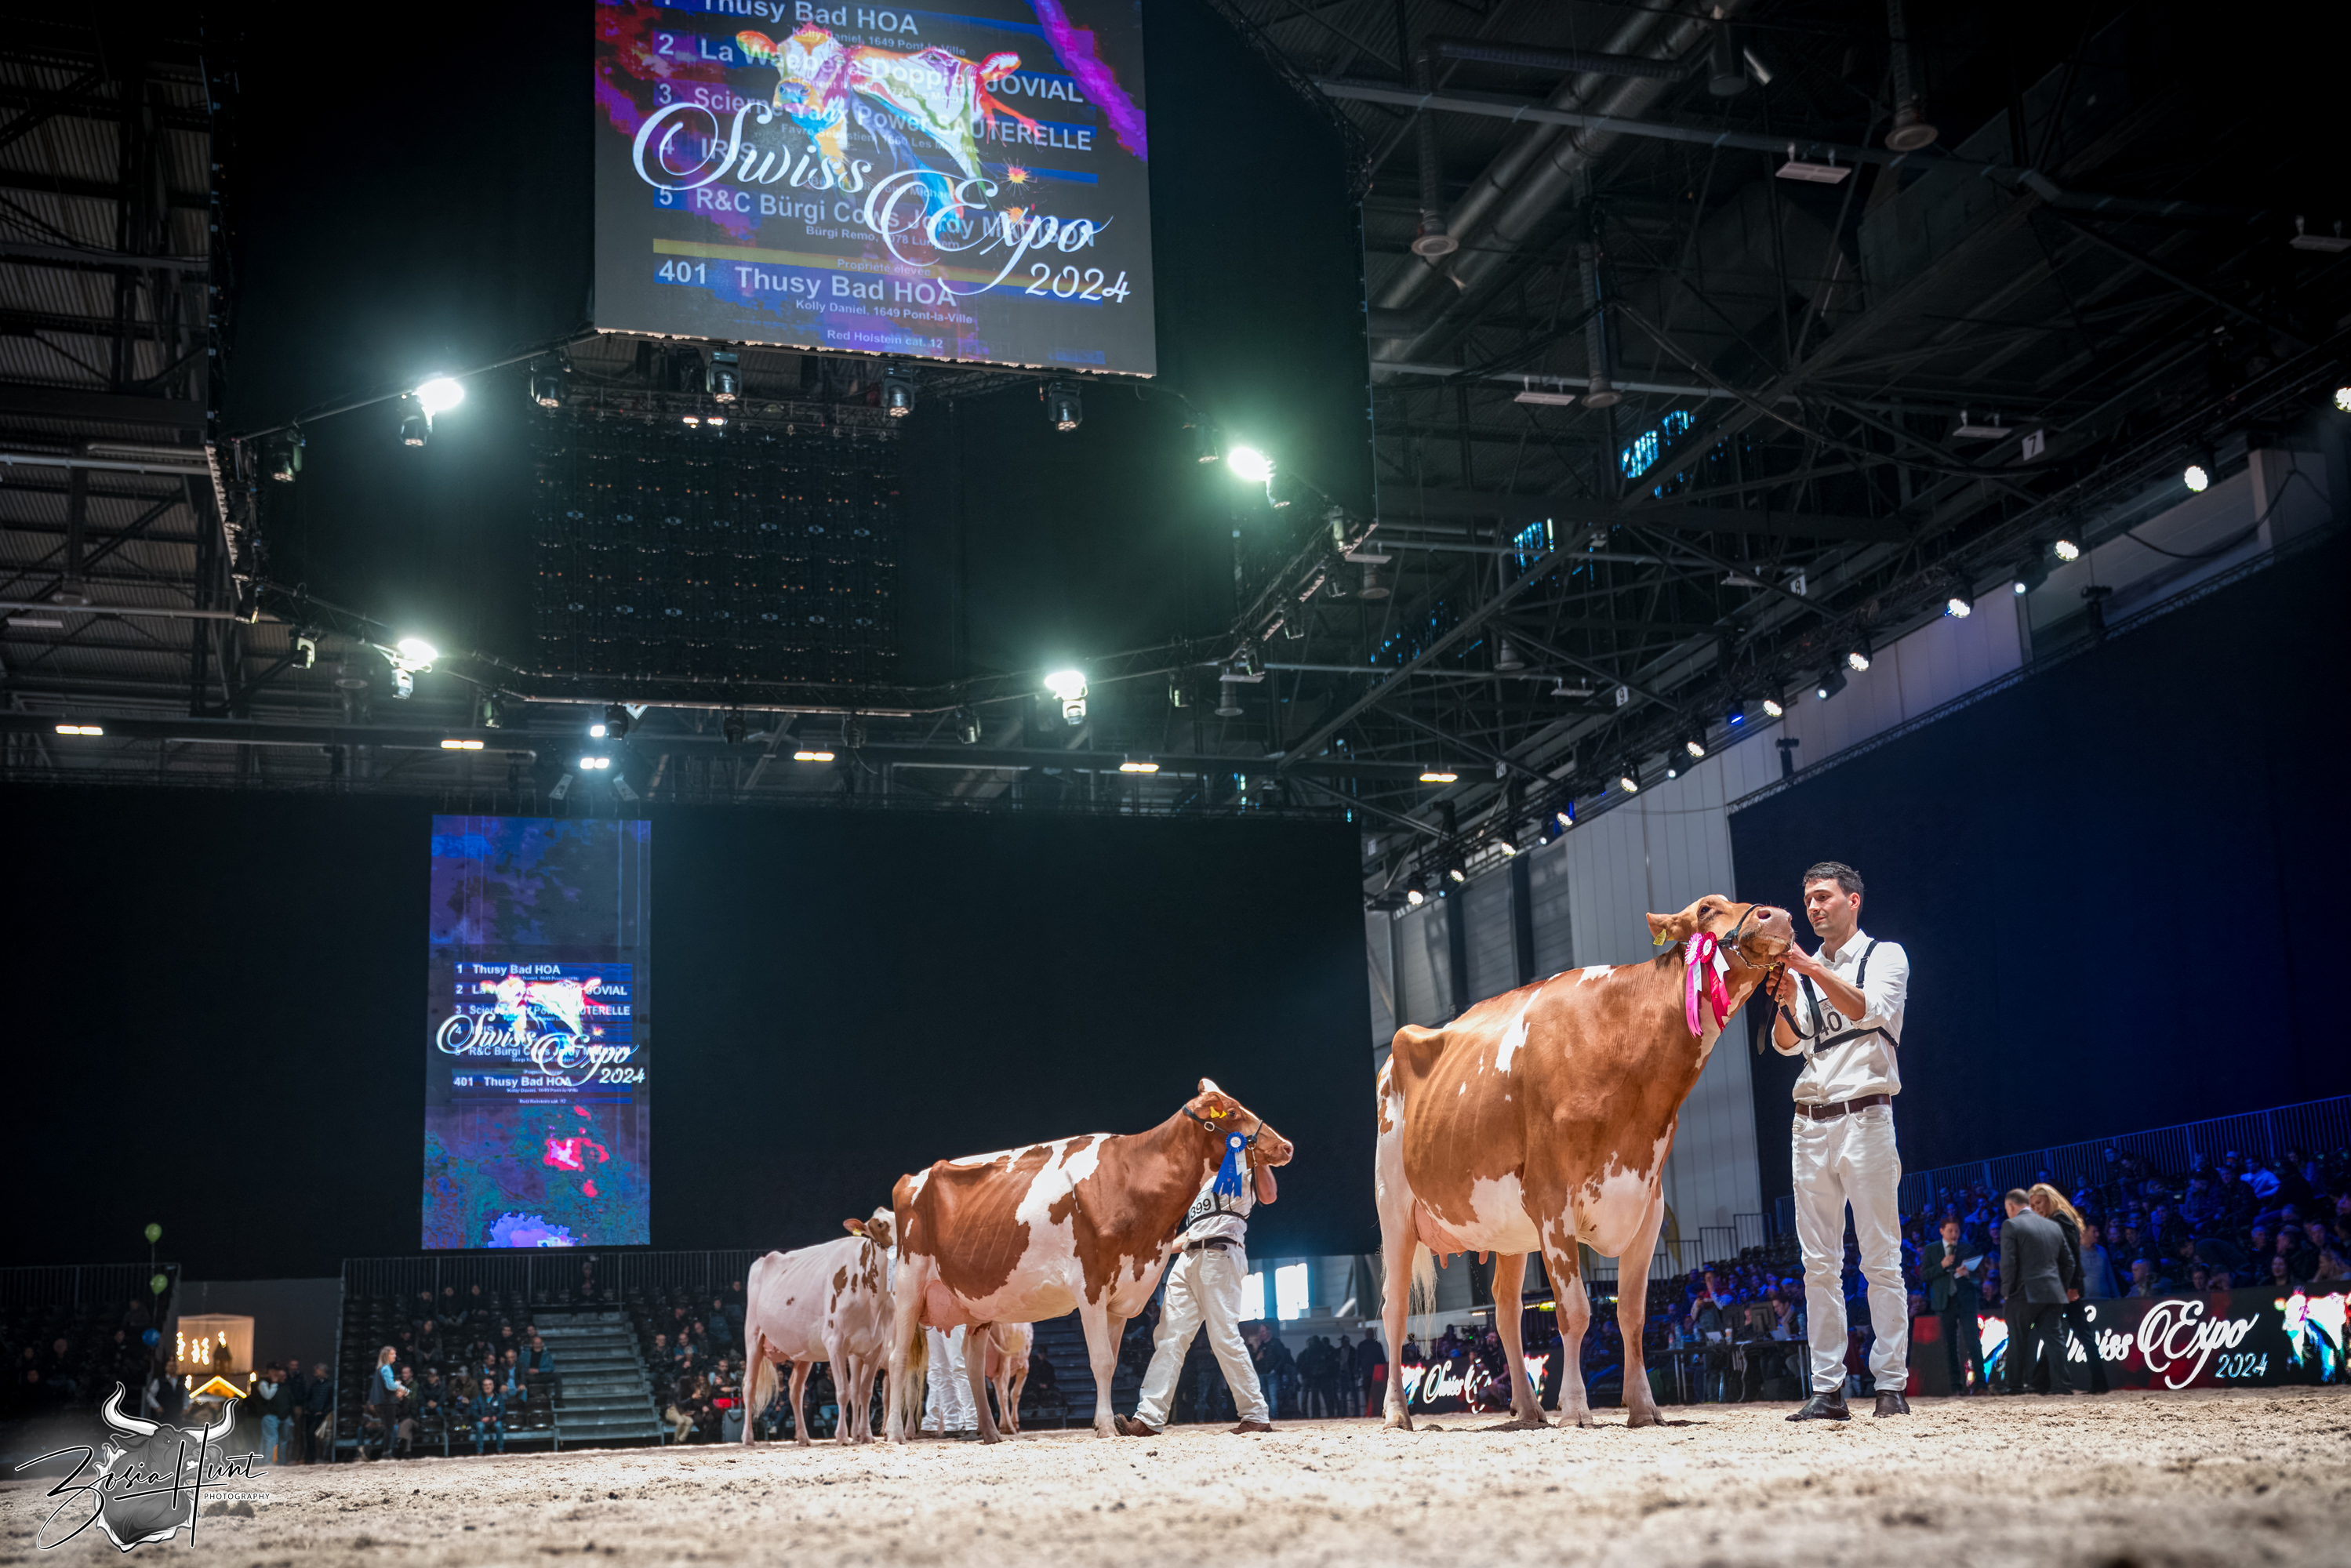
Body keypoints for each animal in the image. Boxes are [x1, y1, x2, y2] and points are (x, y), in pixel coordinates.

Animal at [741, 1208, 895, 1446]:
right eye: (879, 1224)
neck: (872, 1301)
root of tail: (764, 1259)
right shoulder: (835, 1342)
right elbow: (843, 1391)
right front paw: (841, 1436)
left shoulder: (876, 1346)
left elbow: (865, 1392)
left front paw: (867, 1436)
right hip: (753, 1335)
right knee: (749, 1386)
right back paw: (748, 1438)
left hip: (804, 1352)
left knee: (795, 1391)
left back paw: (804, 1437)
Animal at [981, 1322, 1033, 1434]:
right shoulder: (1024, 1367)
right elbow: (1015, 1394)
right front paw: (1015, 1423)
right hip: (1004, 1360)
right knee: (1003, 1393)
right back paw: (1008, 1427)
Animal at [1376, 894, 1794, 1431]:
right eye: (1705, 909)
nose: (1776, 915)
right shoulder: (1552, 1202)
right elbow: (1574, 1311)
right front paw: (1575, 1408)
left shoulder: (1646, 1204)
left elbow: (1631, 1315)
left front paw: (1643, 1406)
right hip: (1394, 1207)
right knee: (1394, 1309)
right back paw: (1396, 1412)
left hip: (1507, 1229)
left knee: (1506, 1309)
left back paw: (1529, 1408)